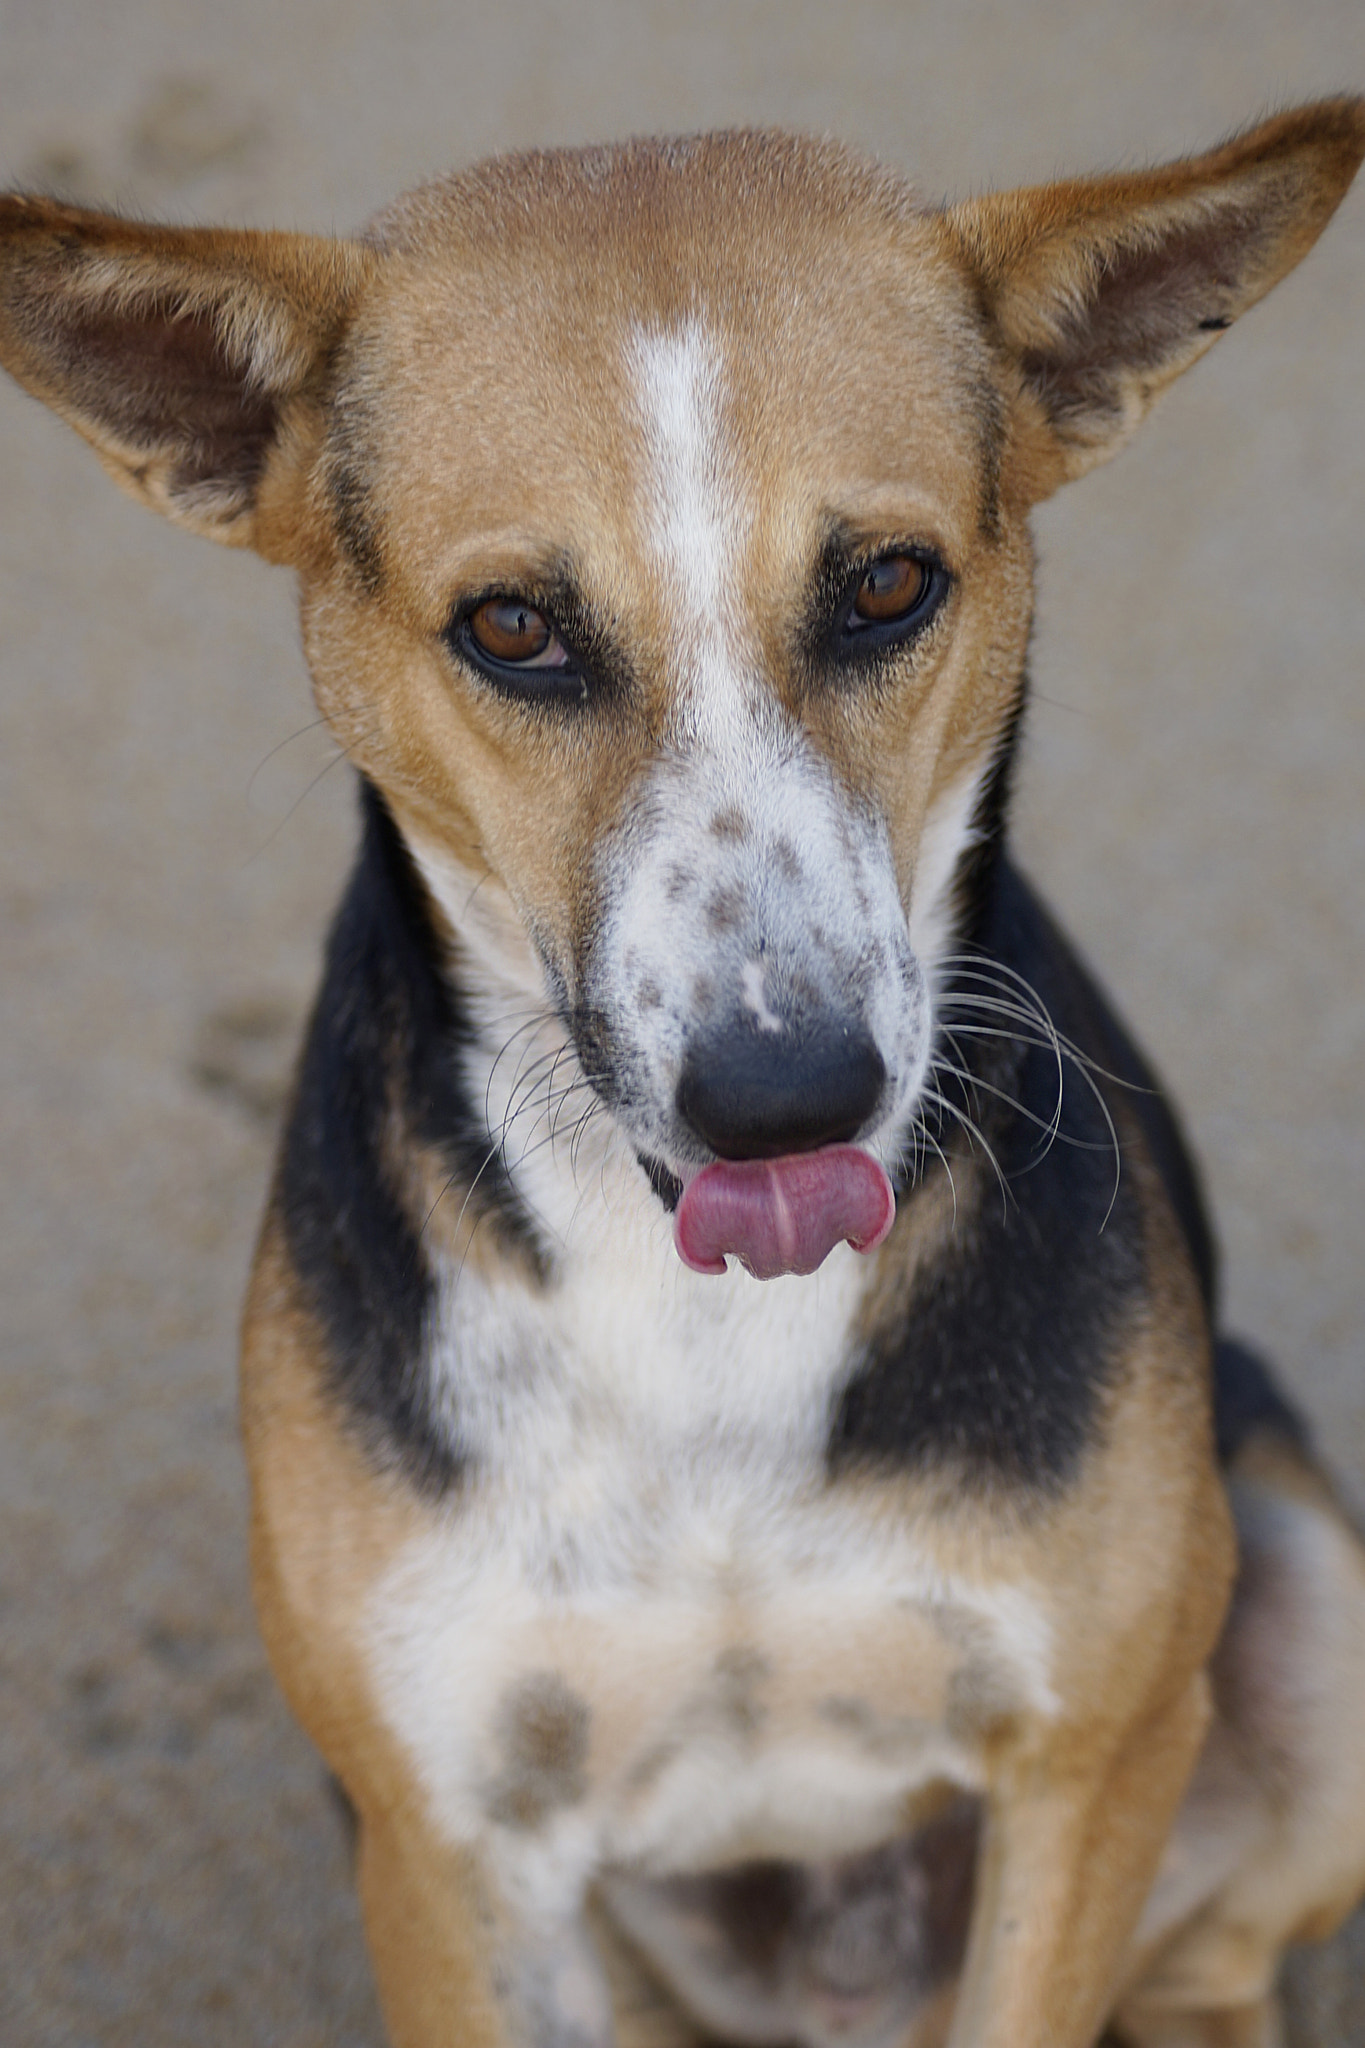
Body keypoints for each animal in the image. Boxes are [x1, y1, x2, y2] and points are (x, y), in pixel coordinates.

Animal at [2, 103, 1365, 2048]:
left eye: (886, 586)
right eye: (511, 627)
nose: (788, 1095)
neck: (706, 1316)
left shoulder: (1083, 1762)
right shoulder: (448, 1847)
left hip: (1300, 1582)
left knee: (1212, 1964)